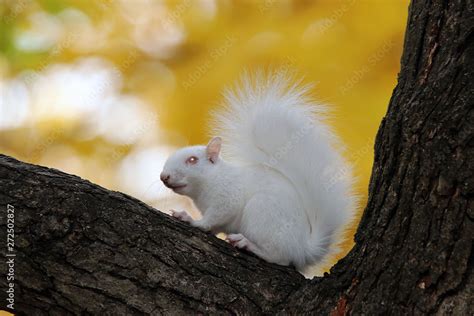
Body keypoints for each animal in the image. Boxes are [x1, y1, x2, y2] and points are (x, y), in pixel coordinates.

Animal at [161, 71, 358, 274]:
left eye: (192, 160)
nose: (163, 176)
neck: (210, 181)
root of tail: (302, 249)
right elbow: (215, 226)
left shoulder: (228, 197)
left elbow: (213, 218)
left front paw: (191, 220)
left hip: (261, 212)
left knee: (279, 258)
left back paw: (248, 244)